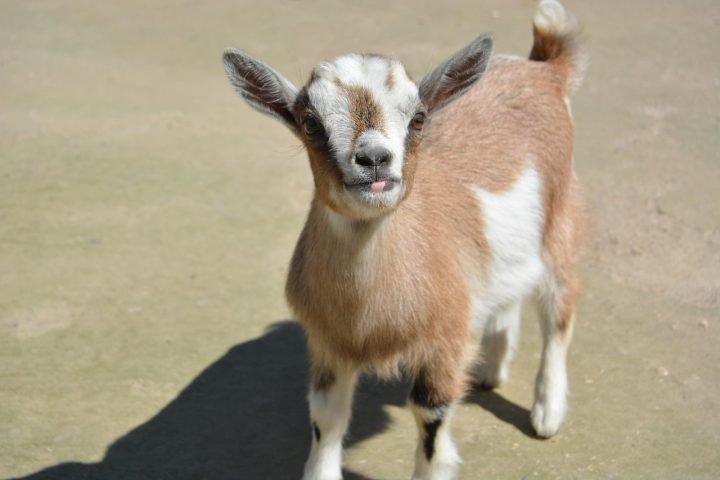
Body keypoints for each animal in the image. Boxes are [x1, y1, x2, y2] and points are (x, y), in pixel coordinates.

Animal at [223, 0, 586, 478]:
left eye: (418, 118)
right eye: (309, 124)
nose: (375, 159)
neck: (368, 317)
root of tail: (544, 67)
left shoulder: (443, 340)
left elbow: (430, 418)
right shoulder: (327, 343)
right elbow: (325, 415)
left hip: (561, 221)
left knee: (559, 309)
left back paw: (546, 413)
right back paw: (491, 368)